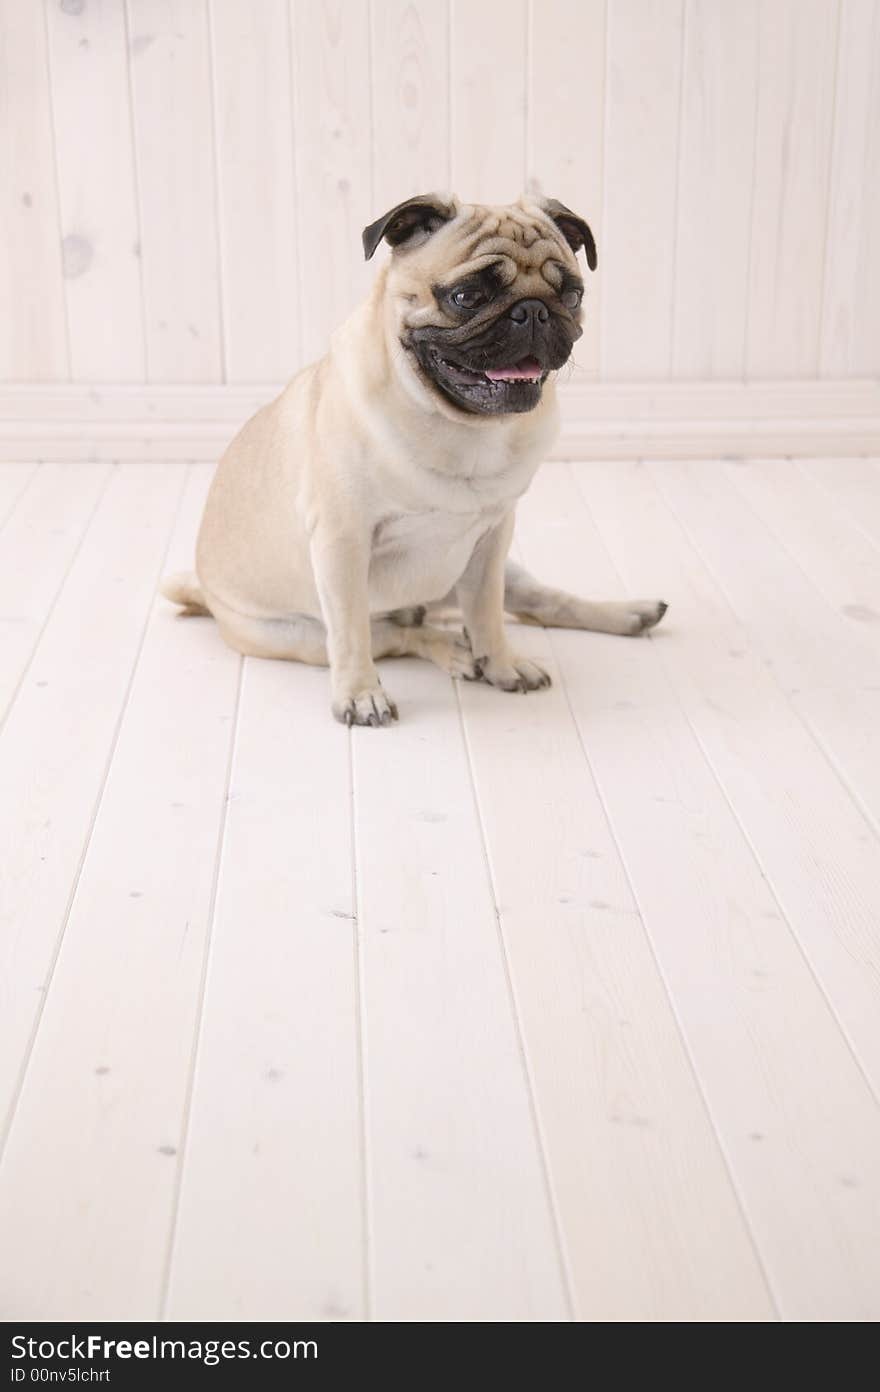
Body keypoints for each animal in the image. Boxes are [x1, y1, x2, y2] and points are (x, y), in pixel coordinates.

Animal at [161, 196, 665, 729]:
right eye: (467, 296)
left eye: (571, 294)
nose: (534, 311)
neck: (464, 427)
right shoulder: (342, 543)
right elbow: (352, 635)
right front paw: (361, 694)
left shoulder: (493, 540)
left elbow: (487, 613)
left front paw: (502, 663)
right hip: (293, 635)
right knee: (397, 636)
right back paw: (452, 651)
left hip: (501, 571)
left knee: (537, 603)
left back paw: (629, 614)